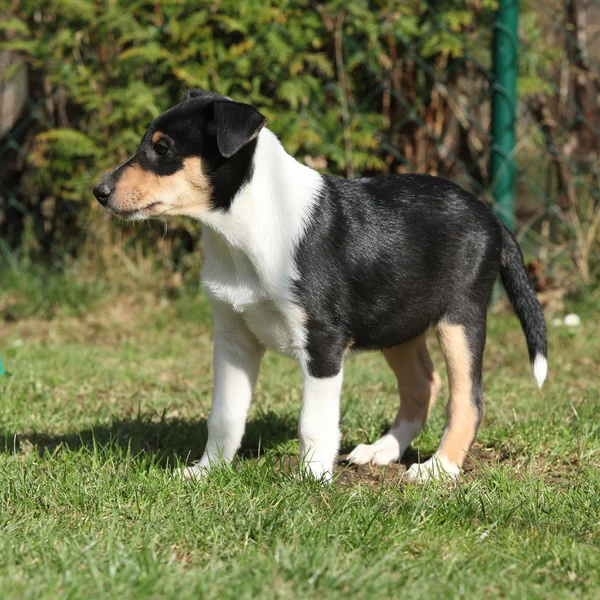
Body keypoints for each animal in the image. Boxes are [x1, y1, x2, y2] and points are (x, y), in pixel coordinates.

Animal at [94, 89, 548, 482]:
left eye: (163, 149)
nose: (99, 191)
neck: (245, 231)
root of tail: (491, 215)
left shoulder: (323, 341)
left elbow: (313, 420)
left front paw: (312, 479)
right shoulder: (233, 338)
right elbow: (224, 414)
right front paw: (207, 471)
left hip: (460, 318)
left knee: (468, 400)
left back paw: (438, 468)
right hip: (397, 319)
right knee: (423, 385)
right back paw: (381, 450)